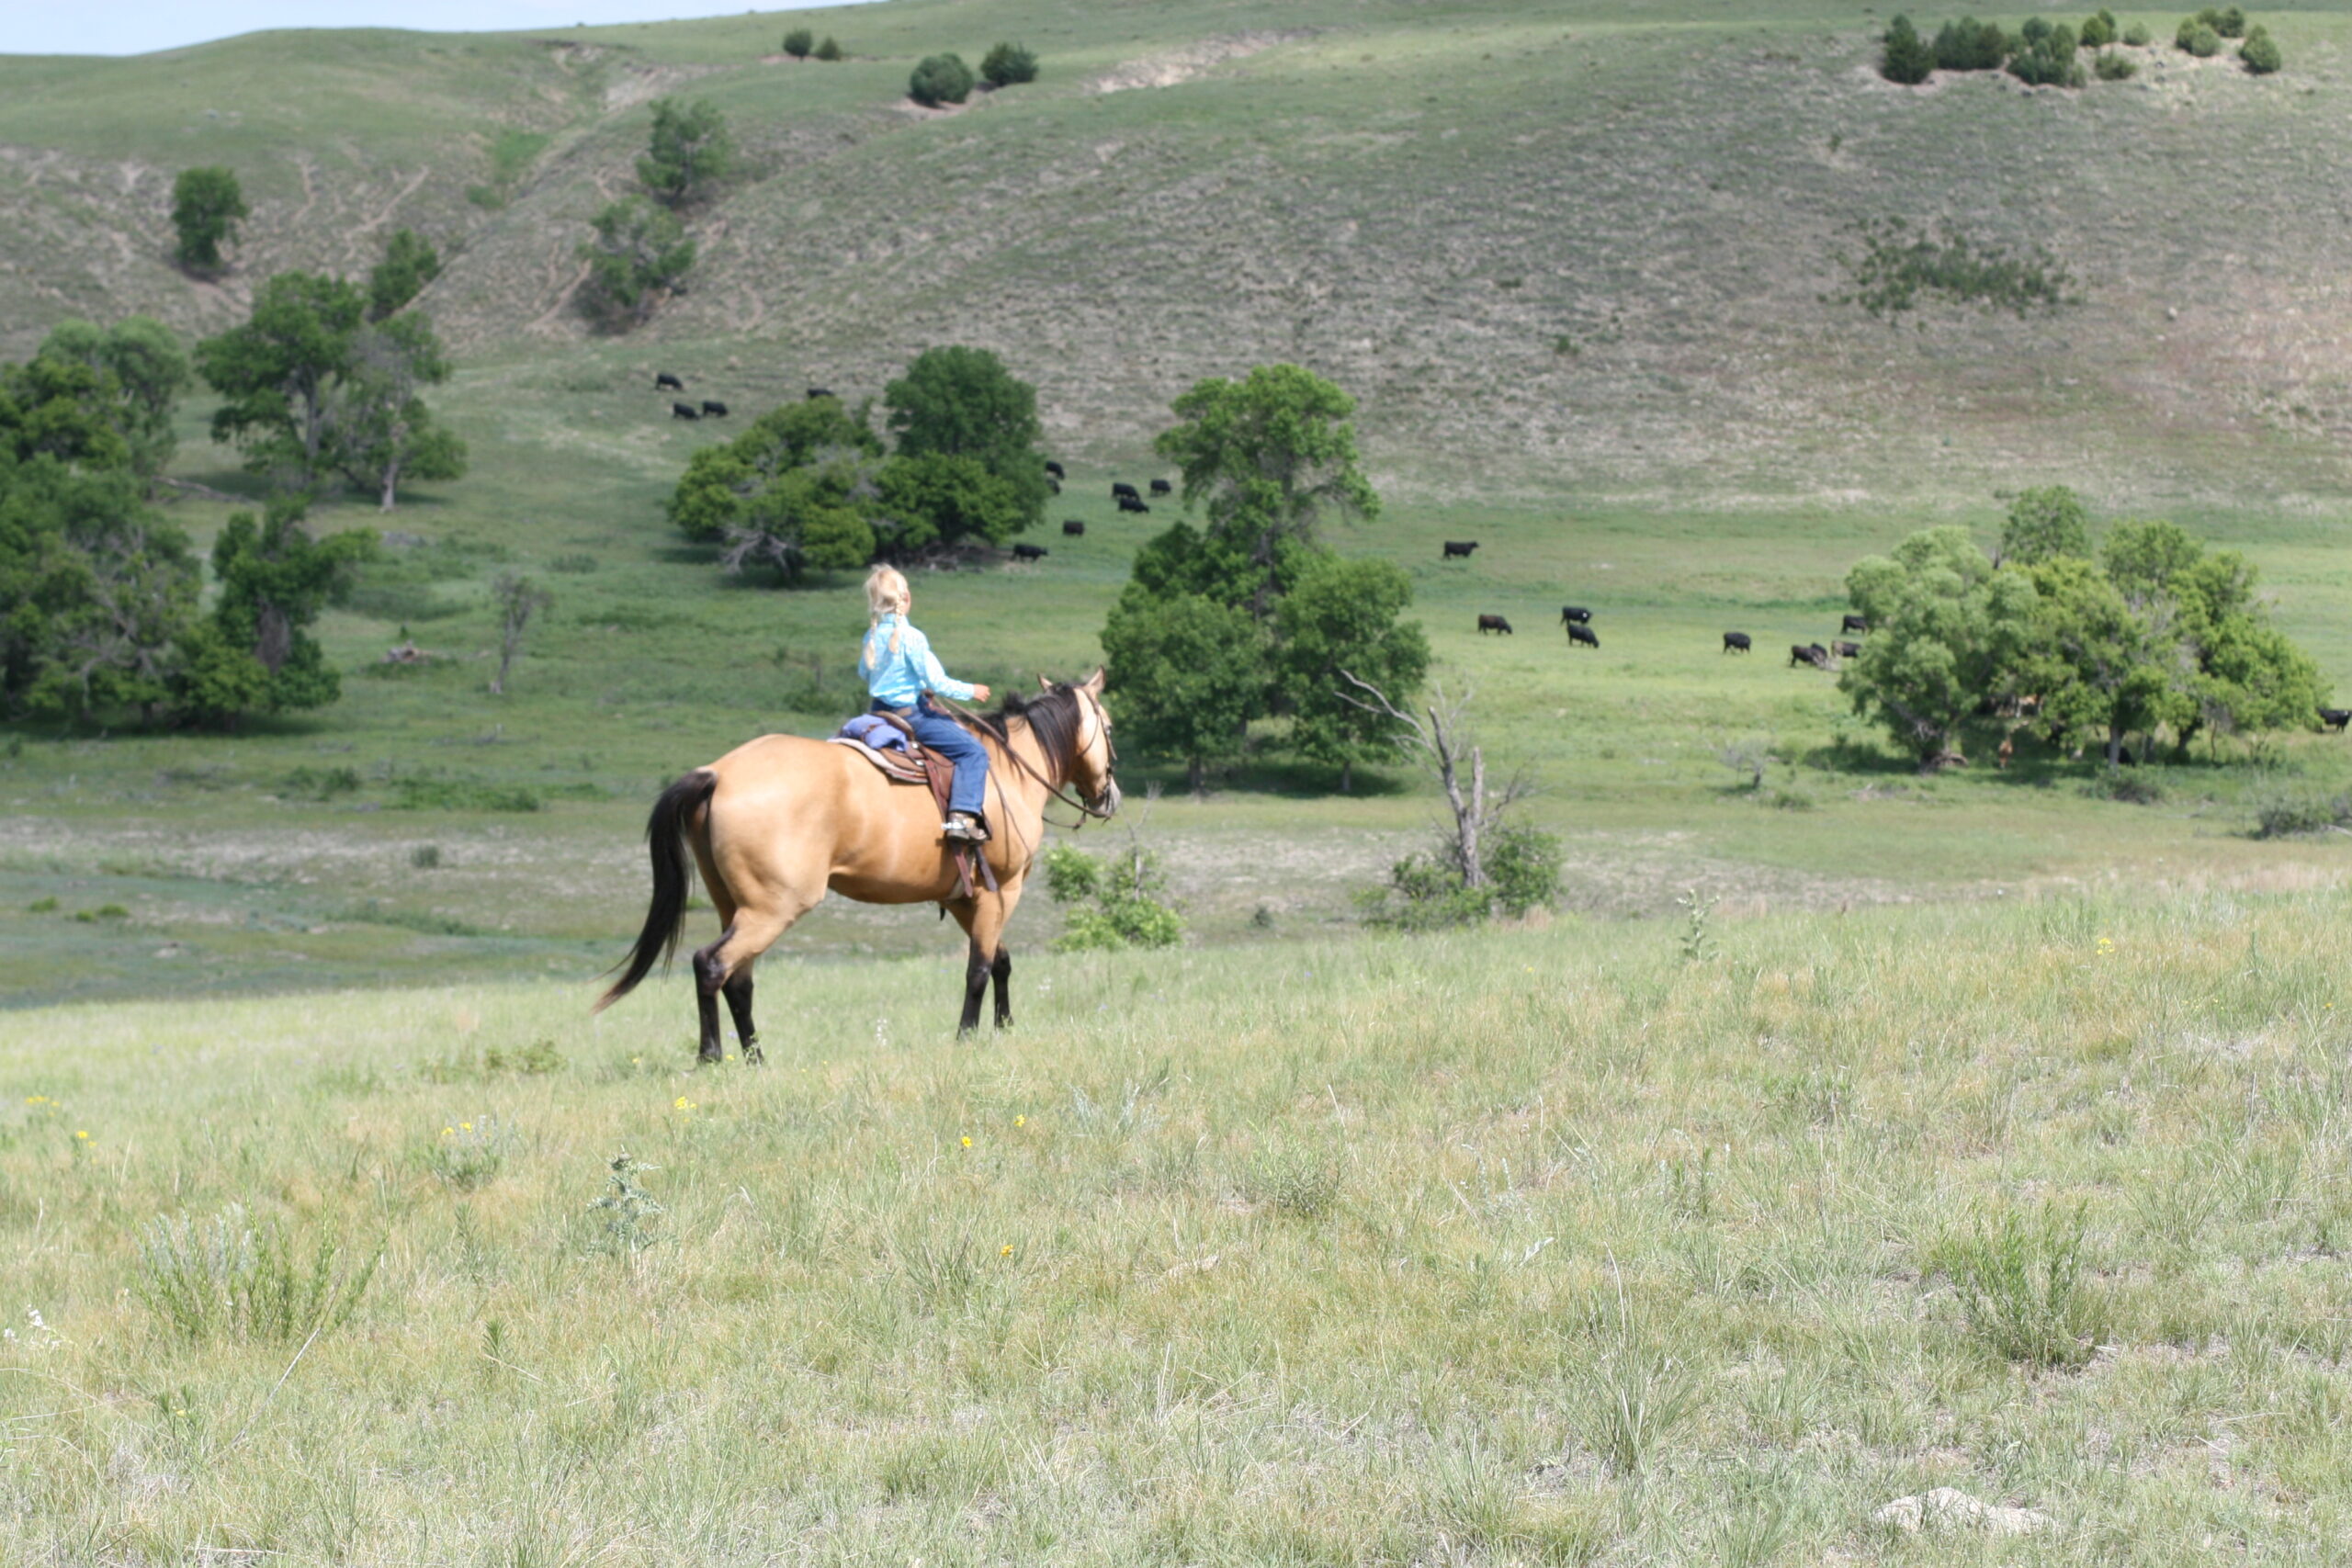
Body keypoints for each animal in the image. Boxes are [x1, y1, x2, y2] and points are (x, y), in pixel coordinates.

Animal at [597, 672, 1121, 1060]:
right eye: (1111, 727)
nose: (1109, 796)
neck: (1006, 771)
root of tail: (719, 773)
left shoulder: (962, 898)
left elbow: (1000, 962)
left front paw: (1005, 1028)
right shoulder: (1002, 888)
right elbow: (980, 967)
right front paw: (968, 1037)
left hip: (736, 906)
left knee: (738, 981)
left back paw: (756, 1059)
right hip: (772, 909)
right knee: (711, 965)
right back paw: (711, 1056)